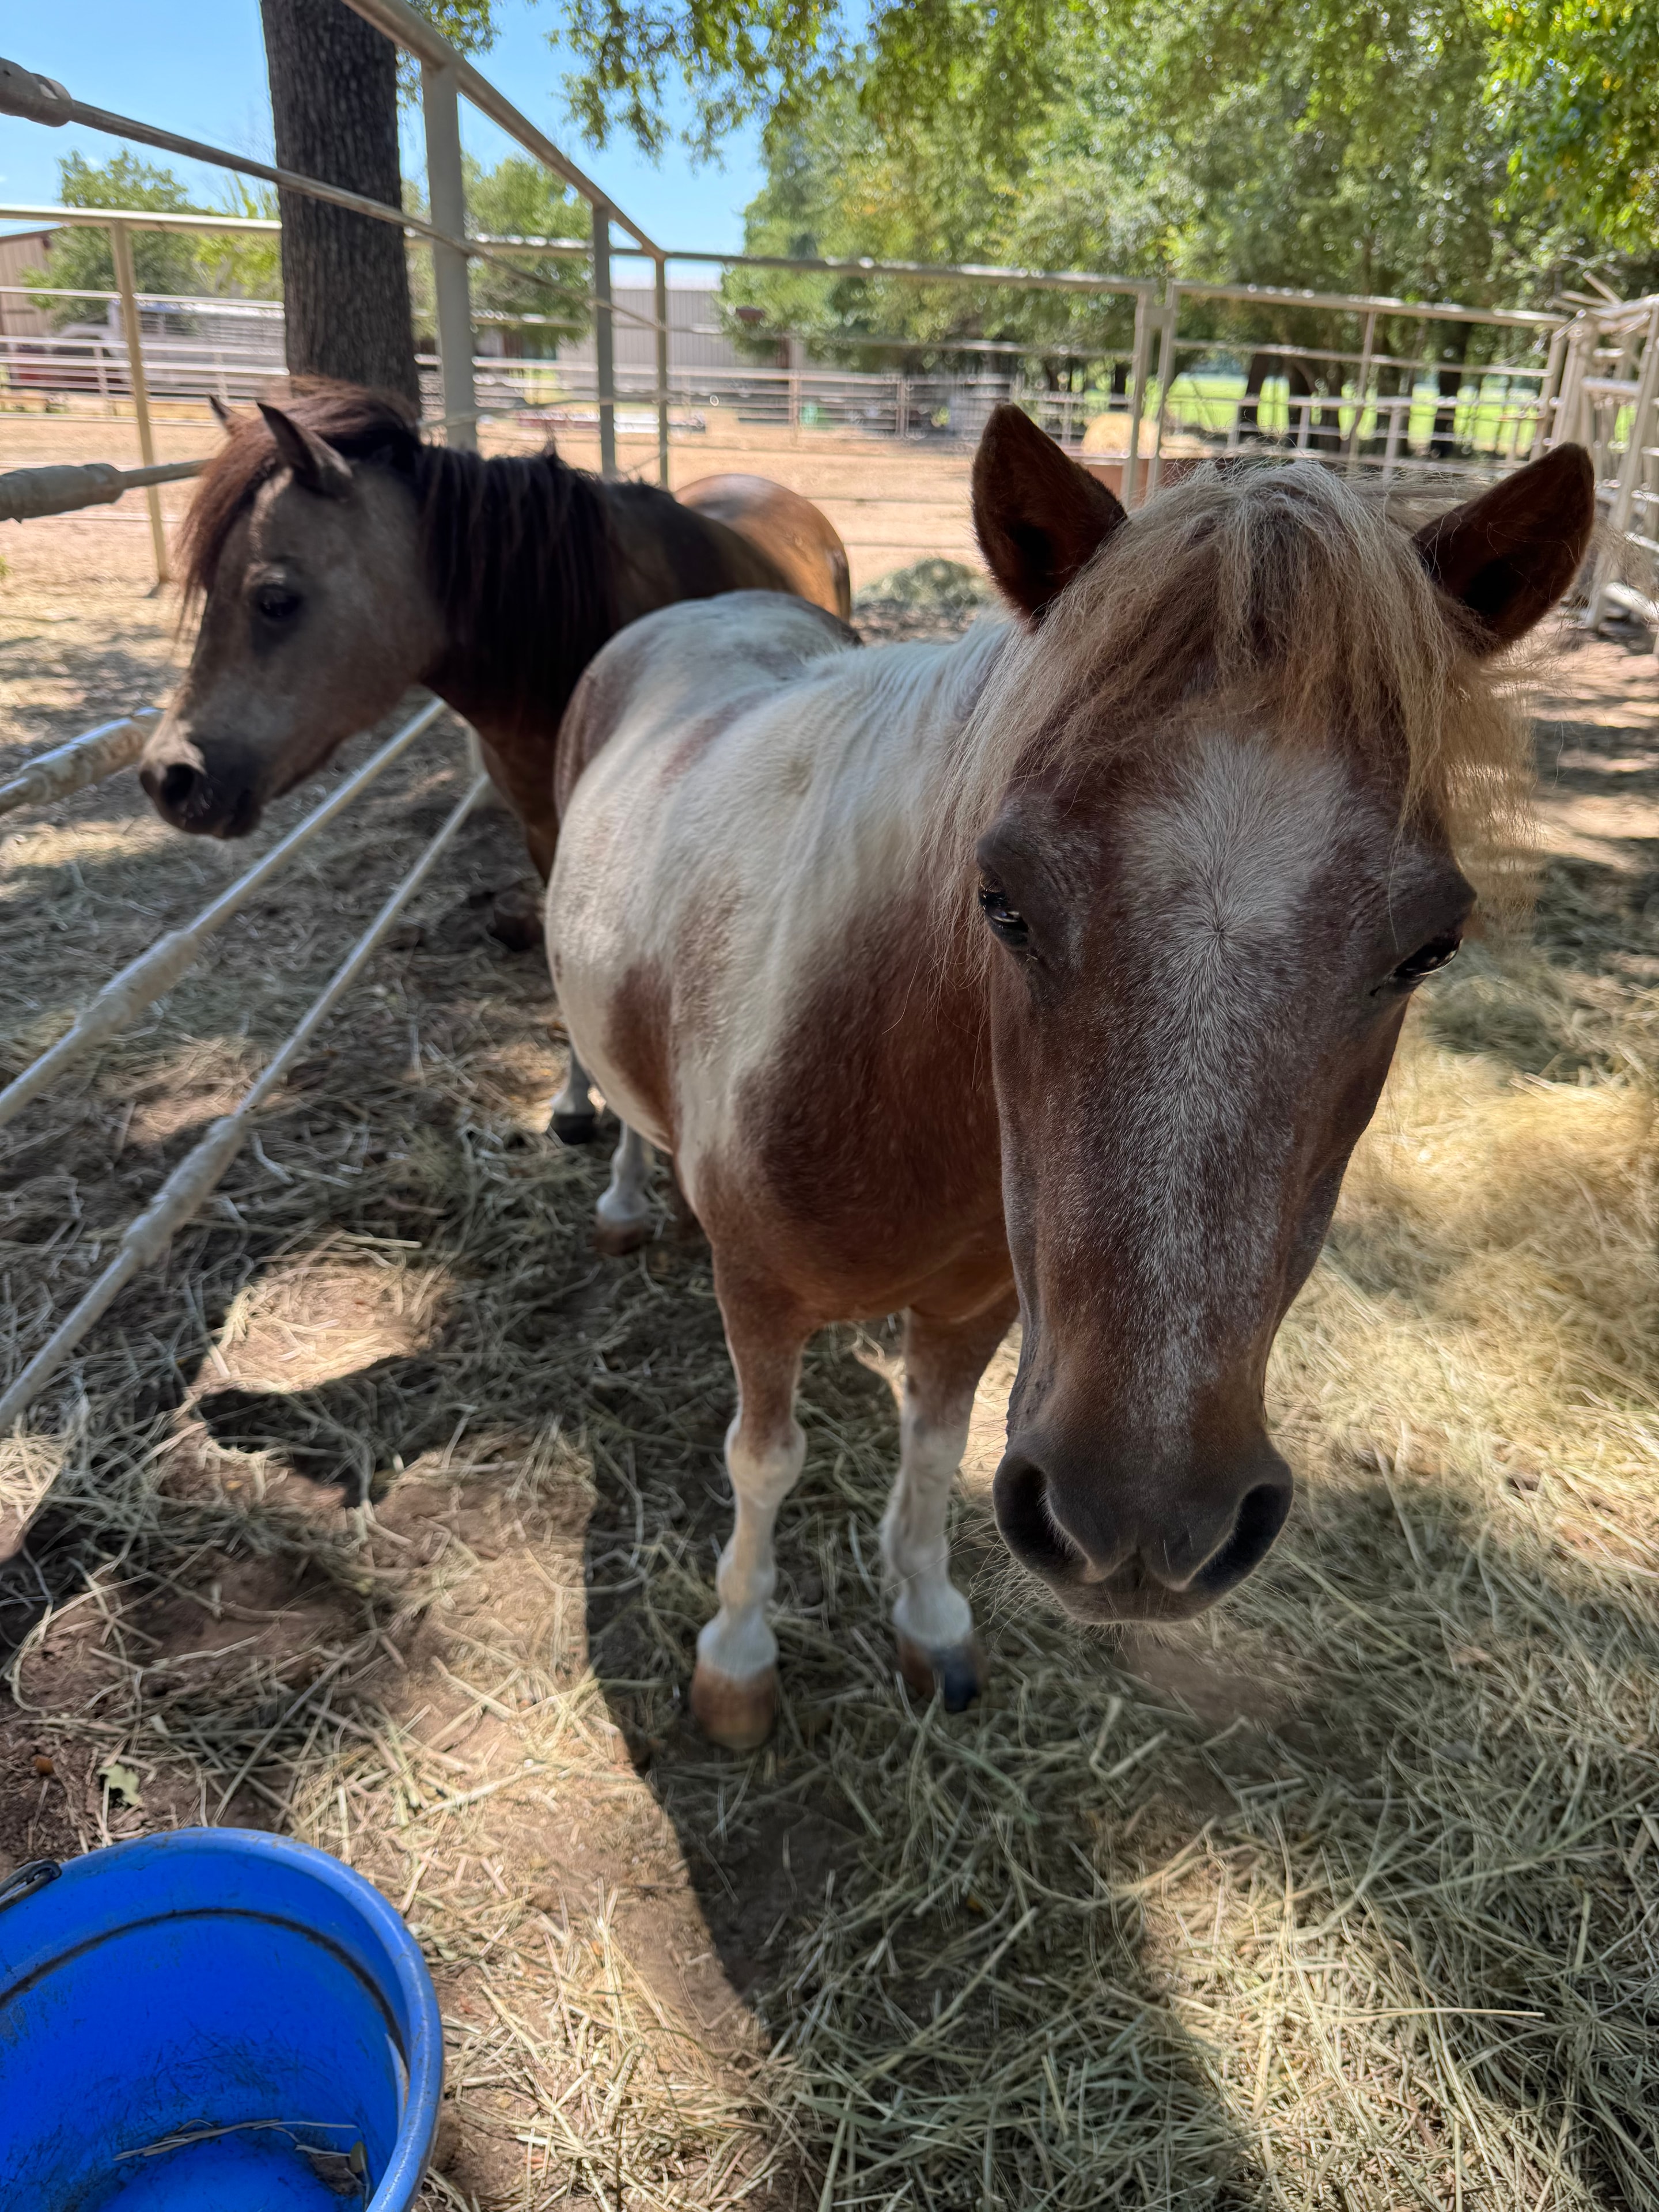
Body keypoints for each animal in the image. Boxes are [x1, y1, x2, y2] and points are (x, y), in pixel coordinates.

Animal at [544, 403, 1593, 1750]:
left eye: (1431, 947)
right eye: (1002, 900)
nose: (1142, 1525)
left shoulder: (978, 1310)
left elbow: (932, 1449)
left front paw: (929, 1620)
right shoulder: (761, 1297)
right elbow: (764, 1463)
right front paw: (737, 1661)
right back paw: (628, 1195)